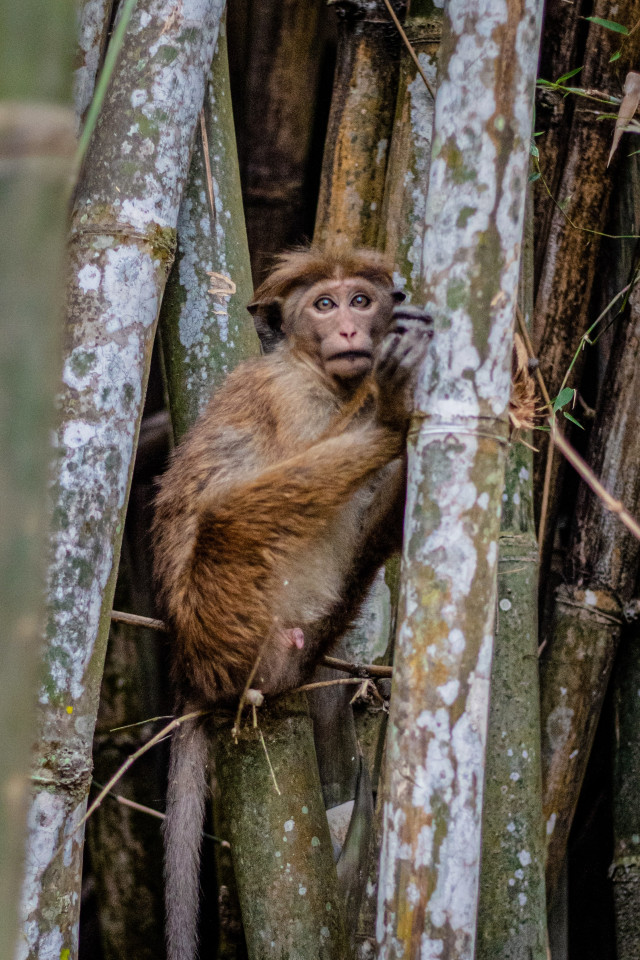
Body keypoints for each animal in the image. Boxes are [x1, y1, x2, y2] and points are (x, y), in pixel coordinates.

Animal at [152, 246, 434, 960]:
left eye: (360, 299)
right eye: (323, 305)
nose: (349, 330)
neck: (319, 372)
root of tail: (191, 669)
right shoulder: (292, 395)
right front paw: (385, 403)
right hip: (226, 613)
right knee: (230, 514)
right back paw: (384, 418)